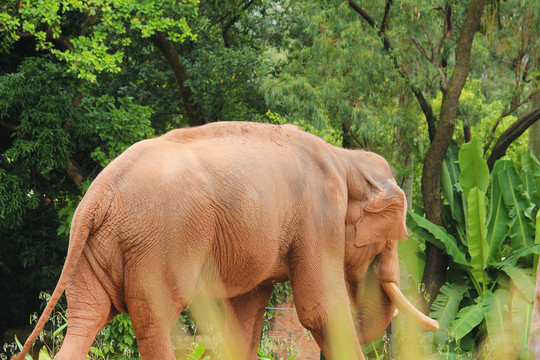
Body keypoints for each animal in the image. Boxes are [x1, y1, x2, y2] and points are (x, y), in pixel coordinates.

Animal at [13, 121, 438, 360]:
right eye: (392, 238)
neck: (345, 157)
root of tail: (98, 195)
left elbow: (243, 322)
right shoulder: (318, 218)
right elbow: (321, 309)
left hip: (93, 251)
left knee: (87, 317)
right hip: (160, 244)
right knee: (154, 322)